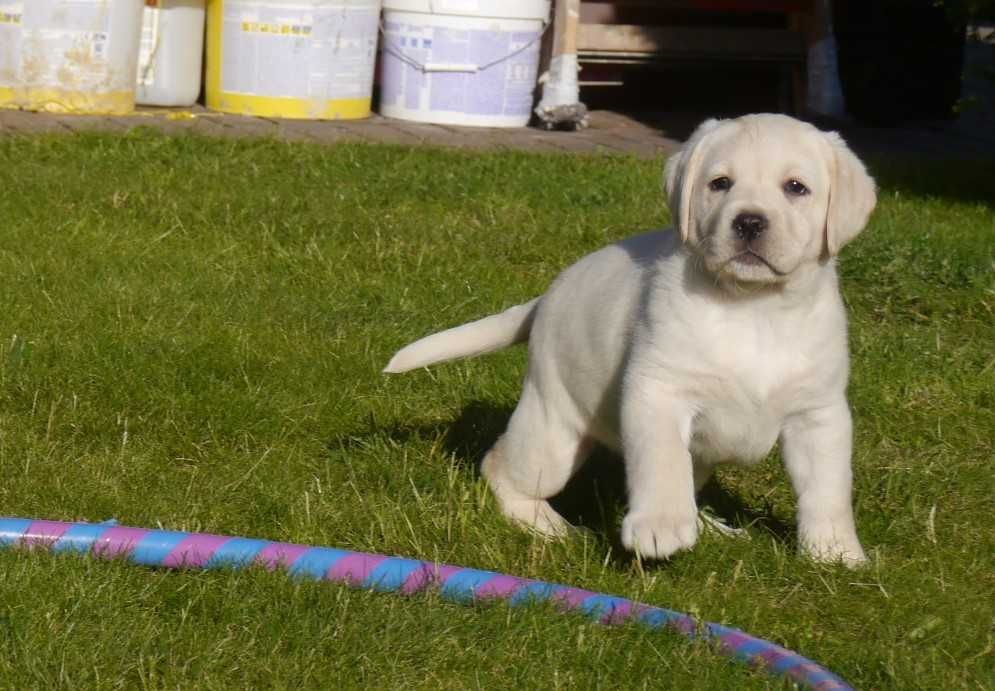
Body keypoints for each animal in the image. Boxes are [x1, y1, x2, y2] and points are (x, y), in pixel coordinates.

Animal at [386, 113, 876, 568]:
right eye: (720, 183)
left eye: (796, 187)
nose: (749, 221)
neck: (755, 309)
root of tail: (547, 297)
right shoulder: (657, 391)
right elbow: (662, 463)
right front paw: (659, 526)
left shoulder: (820, 414)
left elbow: (827, 488)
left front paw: (835, 552)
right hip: (553, 429)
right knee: (502, 468)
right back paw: (547, 525)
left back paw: (712, 526)